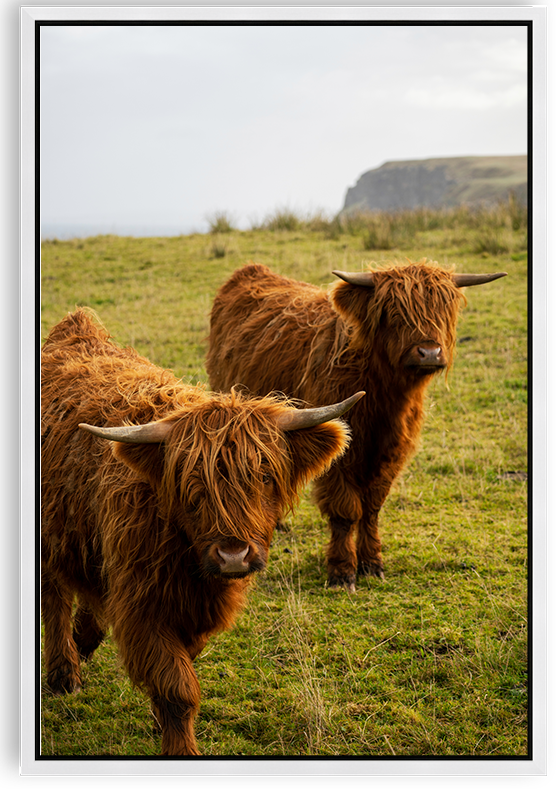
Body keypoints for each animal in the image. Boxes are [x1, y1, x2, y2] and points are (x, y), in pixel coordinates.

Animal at [39, 310, 364, 752]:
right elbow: (177, 688)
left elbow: (181, 672)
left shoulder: (193, 612)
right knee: (54, 598)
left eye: (264, 476)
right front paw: (179, 745)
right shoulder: (144, 607)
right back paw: (64, 675)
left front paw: (159, 721)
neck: (190, 566)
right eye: (192, 486)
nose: (233, 555)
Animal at [208, 260, 510, 592]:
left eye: (445, 308)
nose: (429, 353)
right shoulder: (340, 455)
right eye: (394, 312)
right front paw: (342, 572)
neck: (384, 396)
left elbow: (372, 508)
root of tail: (252, 271)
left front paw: (372, 563)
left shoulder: (392, 452)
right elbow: (345, 511)